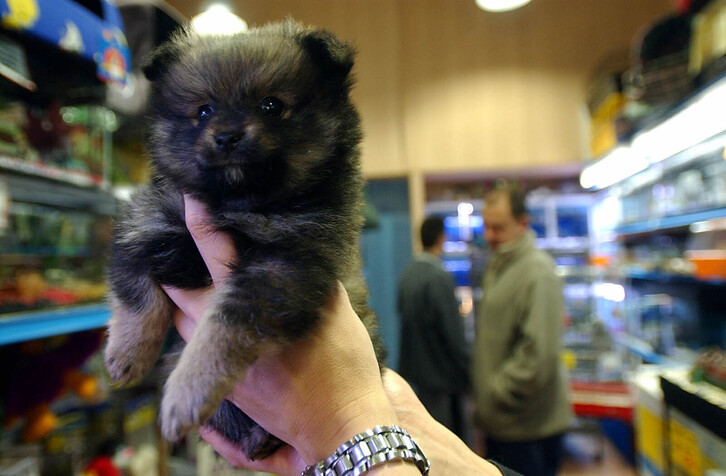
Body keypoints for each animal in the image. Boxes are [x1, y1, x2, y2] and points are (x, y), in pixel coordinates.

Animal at [105, 20, 386, 460]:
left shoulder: (281, 268)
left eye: (271, 106)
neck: (240, 203)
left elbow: (219, 333)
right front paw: (127, 353)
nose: (226, 136)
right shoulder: (146, 223)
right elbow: (137, 296)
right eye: (204, 111)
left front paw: (187, 391)